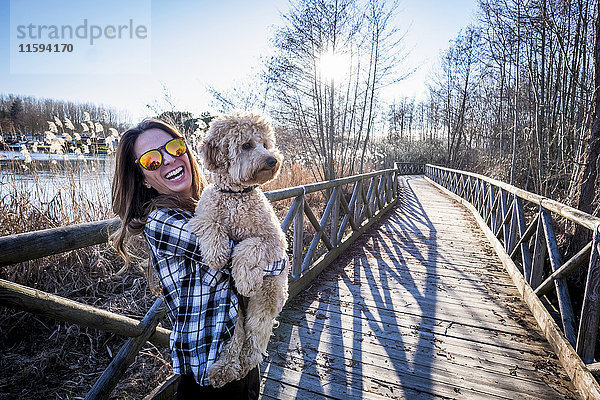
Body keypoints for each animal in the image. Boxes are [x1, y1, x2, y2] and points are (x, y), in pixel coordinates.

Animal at [189, 112, 290, 388]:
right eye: (246, 145)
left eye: (265, 144)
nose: (273, 160)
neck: (236, 196)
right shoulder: (201, 216)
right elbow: (212, 225)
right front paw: (216, 255)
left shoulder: (275, 242)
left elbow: (248, 245)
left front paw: (245, 279)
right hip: (232, 316)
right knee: (234, 339)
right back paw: (223, 369)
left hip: (266, 298)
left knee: (256, 338)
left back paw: (244, 363)